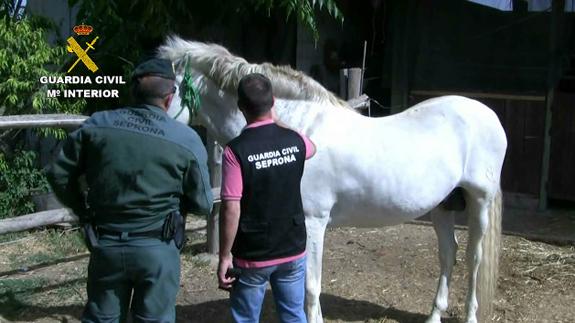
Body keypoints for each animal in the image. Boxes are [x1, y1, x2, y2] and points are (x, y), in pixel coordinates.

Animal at [159, 36, 508, 323]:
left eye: (169, 88)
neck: (297, 131)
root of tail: (487, 113)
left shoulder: (313, 222)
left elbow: (311, 288)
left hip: (480, 201)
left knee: (474, 258)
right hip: (443, 205)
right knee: (448, 254)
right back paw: (434, 316)